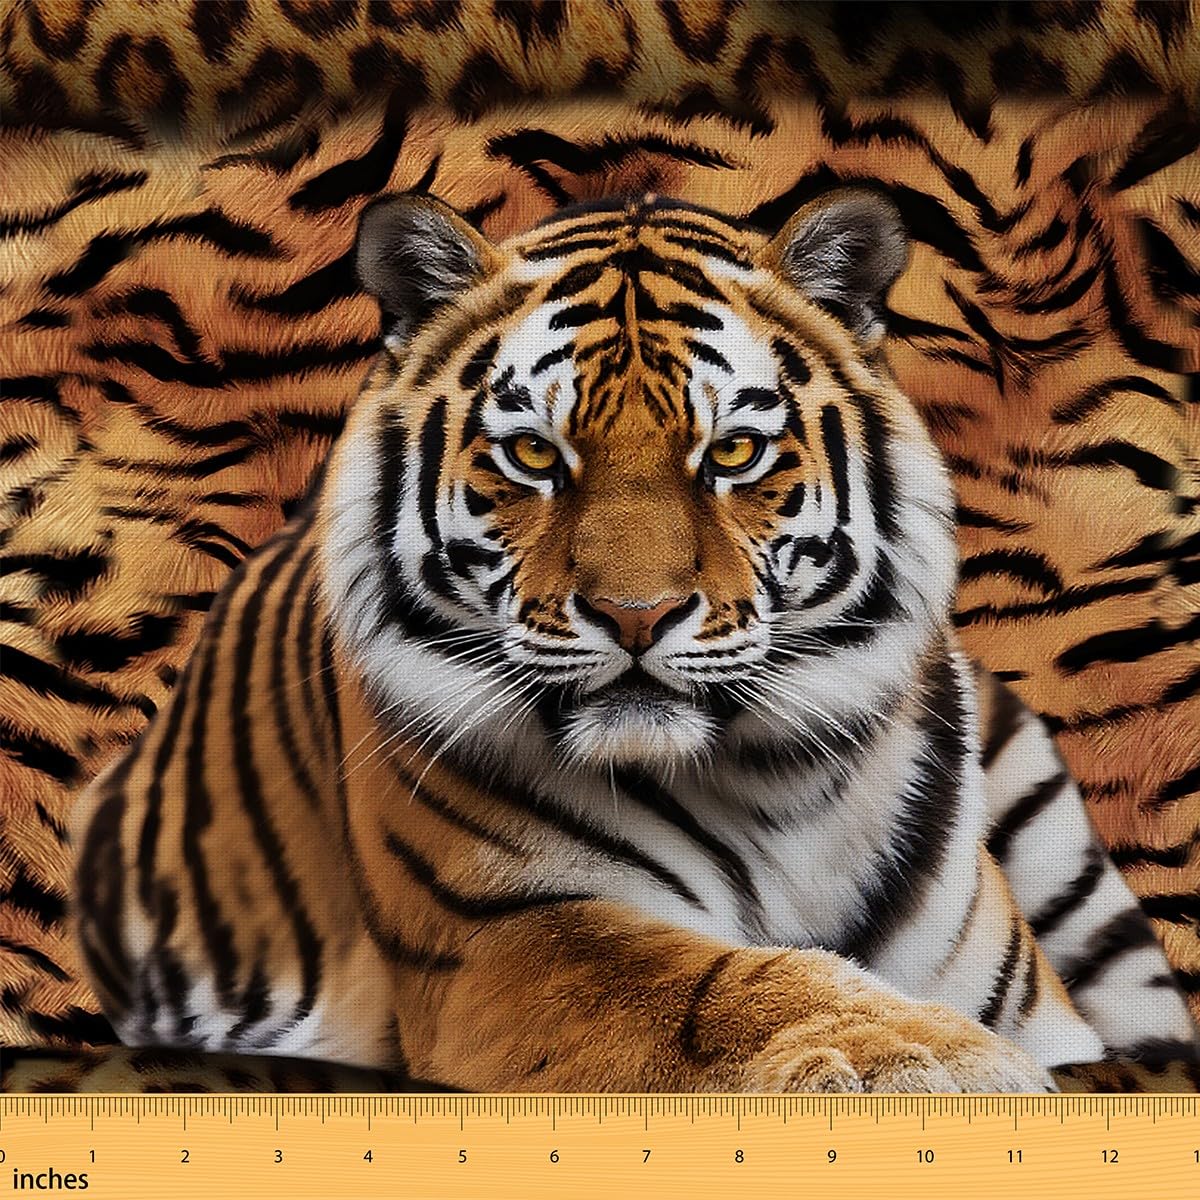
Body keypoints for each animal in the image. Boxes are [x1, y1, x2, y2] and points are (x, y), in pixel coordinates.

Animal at [64, 187, 1199, 1094]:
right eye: (533, 456)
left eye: (733, 452)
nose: (637, 615)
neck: (774, 794)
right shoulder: (501, 939)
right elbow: (710, 986)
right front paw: (929, 1063)